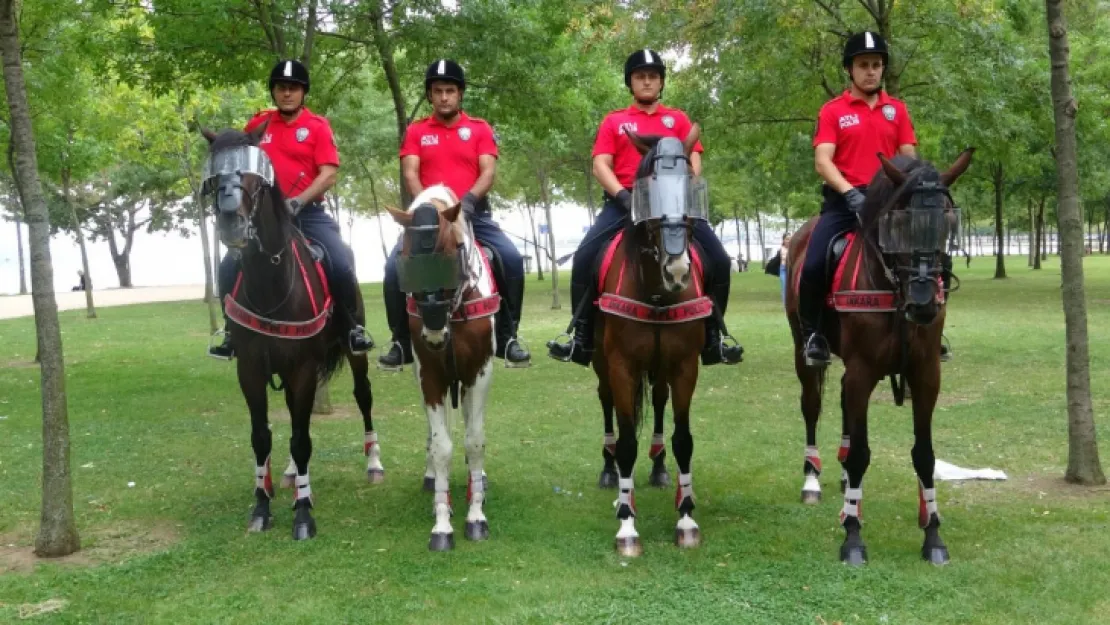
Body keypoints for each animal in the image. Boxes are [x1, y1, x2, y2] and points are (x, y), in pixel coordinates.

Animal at [202, 124, 384, 539]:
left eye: (254, 175)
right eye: (215, 175)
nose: (231, 224)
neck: (271, 284)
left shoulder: (303, 367)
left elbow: (302, 439)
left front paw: (303, 513)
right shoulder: (251, 368)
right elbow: (262, 436)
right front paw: (261, 504)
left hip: (353, 353)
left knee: (363, 397)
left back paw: (373, 463)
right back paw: (286, 473)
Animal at [590, 127, 710, 557]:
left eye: (691, 189)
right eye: (647, 193)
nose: (677, 270)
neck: (657, 292)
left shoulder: (685, 365)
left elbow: (684, 439)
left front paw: (687, 517)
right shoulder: (621, 366)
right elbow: (626, 441)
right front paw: (627, 524)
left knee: (658, 401)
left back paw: (658, 467)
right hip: (602, 364)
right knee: (606, 402)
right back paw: (610, 473)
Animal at [781, 148, 972, 563]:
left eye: (948, 223)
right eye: (895, 224)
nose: (923, 302)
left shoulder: (926, 374)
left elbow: (924, 454)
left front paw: (933, 534)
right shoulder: (862, 371)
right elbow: (861, 454)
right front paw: (853, 537)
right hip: (802, 350)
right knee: (812, 404)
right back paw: (812, 478)